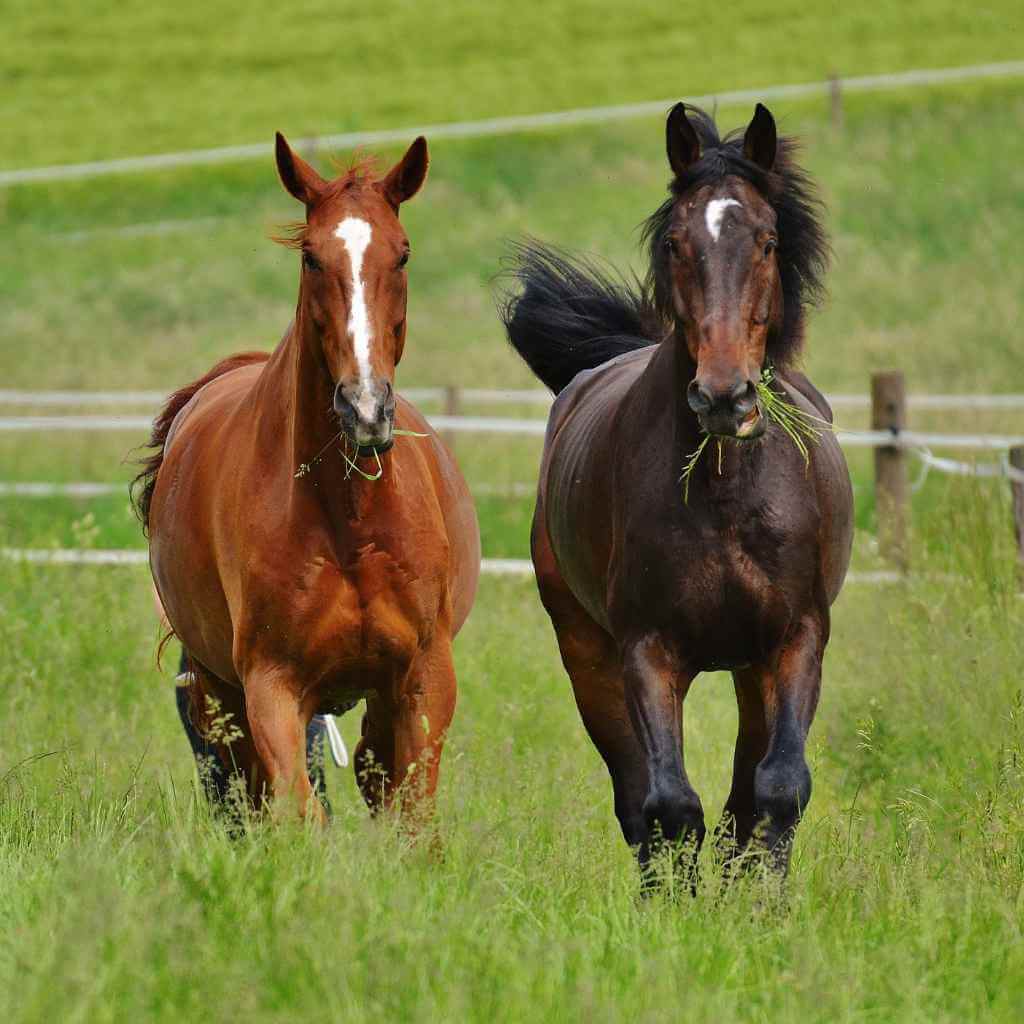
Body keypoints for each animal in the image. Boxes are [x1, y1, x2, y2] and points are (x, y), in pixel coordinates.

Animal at [134, 133, 480, 824]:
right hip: (220, 693)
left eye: (403, 253)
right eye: (311, 258)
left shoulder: (424, 678)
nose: (366, 409)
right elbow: (299, 811)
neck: (348, 519)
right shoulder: (273, 686)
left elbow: (412, 816)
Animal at [501, 103, 853, 879]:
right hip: (588, 657)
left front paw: (762, 900)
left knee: (745, 791)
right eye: (674, 241)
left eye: (768, 240)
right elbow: (668, 805)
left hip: (751, 669)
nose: (724, 396)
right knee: (638, 800)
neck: (725, 498)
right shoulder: (647, 651)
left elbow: (777, 789)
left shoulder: (796, 638)